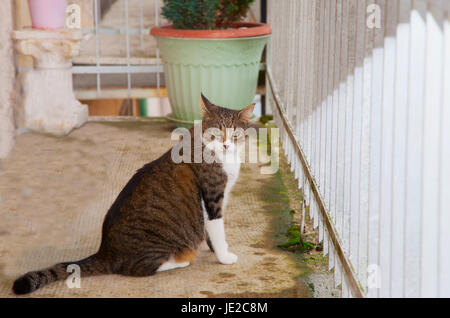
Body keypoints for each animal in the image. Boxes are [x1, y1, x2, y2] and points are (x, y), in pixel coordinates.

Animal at [12, 93, 255, 294]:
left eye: (235, 134)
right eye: (216, 132)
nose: (225, 145)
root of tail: (105, 251)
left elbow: (210, 231)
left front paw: (217, 250)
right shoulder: (212, 197)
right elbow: (217, 229)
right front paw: (224, 256)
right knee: (138, 269)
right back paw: (182, 258)